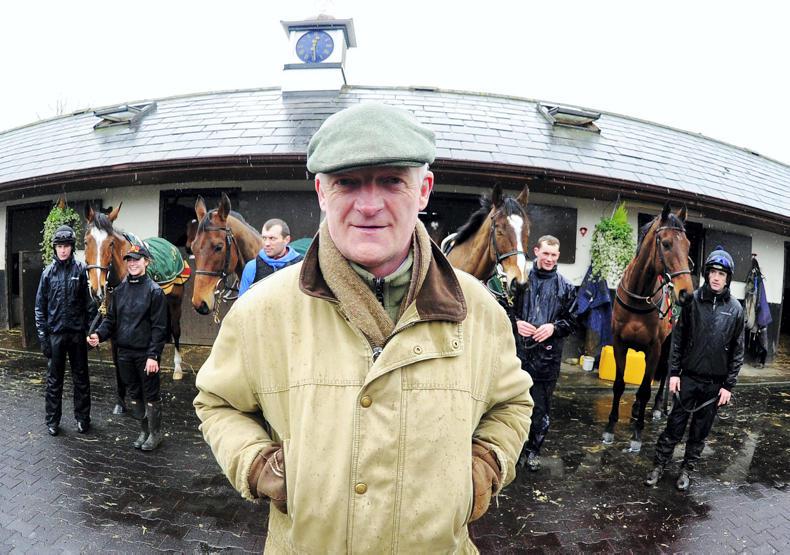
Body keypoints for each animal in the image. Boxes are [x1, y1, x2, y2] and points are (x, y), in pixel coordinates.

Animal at [83, 203, 190, 381]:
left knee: (176, 330)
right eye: (85, 242)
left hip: (175, 303)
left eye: (111, 243)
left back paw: (177, 369)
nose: (97, 289)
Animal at [602, 202, 694, 453]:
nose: (686, 293)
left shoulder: (655, 348)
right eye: (666, 244)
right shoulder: (619, 343)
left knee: (665, 374)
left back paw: (658, 408)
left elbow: (645, 389)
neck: (639, 296)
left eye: (688, 245)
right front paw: (610, 427)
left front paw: (636, 435)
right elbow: (619, 385)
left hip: (669, 344)